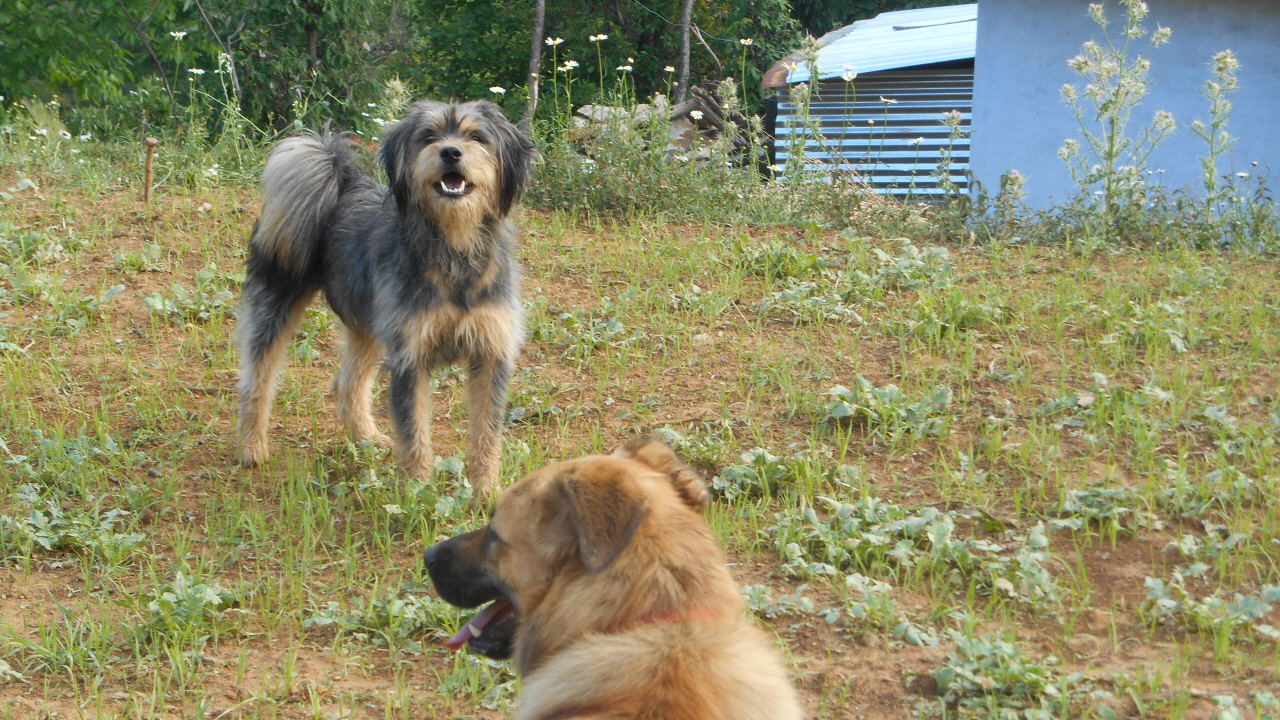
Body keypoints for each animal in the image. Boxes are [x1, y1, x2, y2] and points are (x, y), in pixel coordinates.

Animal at [238, 101, 532, 502]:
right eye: (429, 136)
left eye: (476, 137)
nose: (450, 152)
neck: (454, 248)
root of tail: (341, 179)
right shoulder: (410, 357)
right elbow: (414, 433)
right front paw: (417, 494)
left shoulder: (491, 355)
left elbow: (487, 435)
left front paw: (486, 493)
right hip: (277, 300)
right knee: (257, 380)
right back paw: (251, 446)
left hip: (370, 326)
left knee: (347, 383)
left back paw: (367, 438)